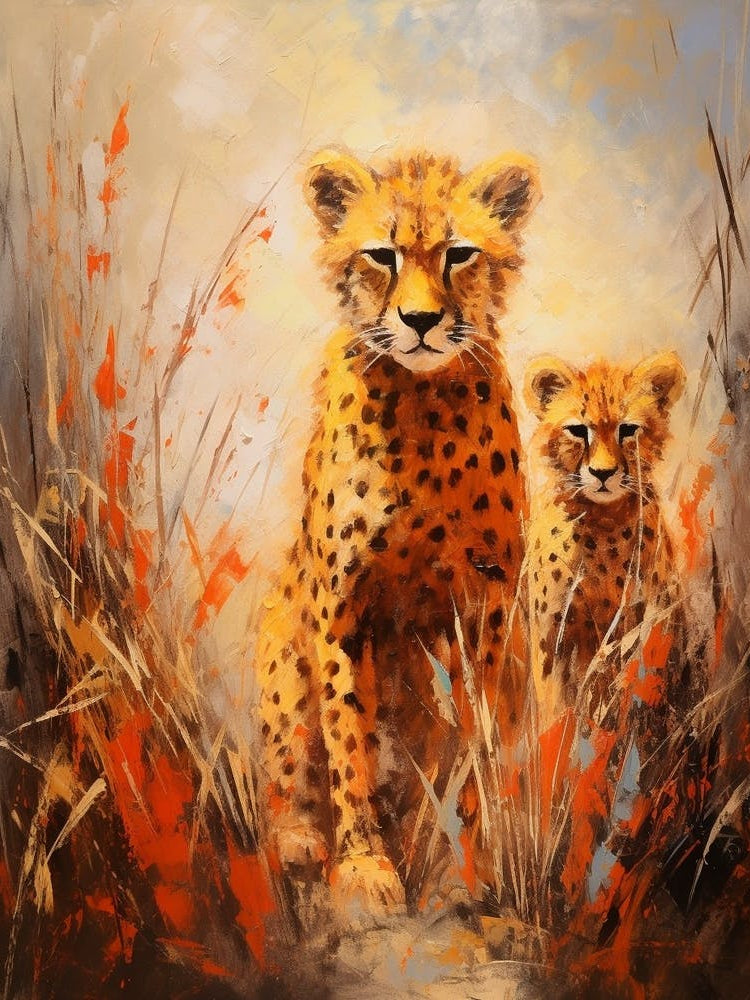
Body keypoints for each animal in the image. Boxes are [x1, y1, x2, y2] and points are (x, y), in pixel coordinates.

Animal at [256, 146, 541, 917]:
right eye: (380, 255)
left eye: (459, 254)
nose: (418, 319)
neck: (421, 407)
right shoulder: (340, 608)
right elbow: (347, 736)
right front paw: (363, 867)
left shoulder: (485, 610)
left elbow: (473, 738)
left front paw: (465, 866)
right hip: (280, 643)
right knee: (289, 762)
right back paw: (300, 838)